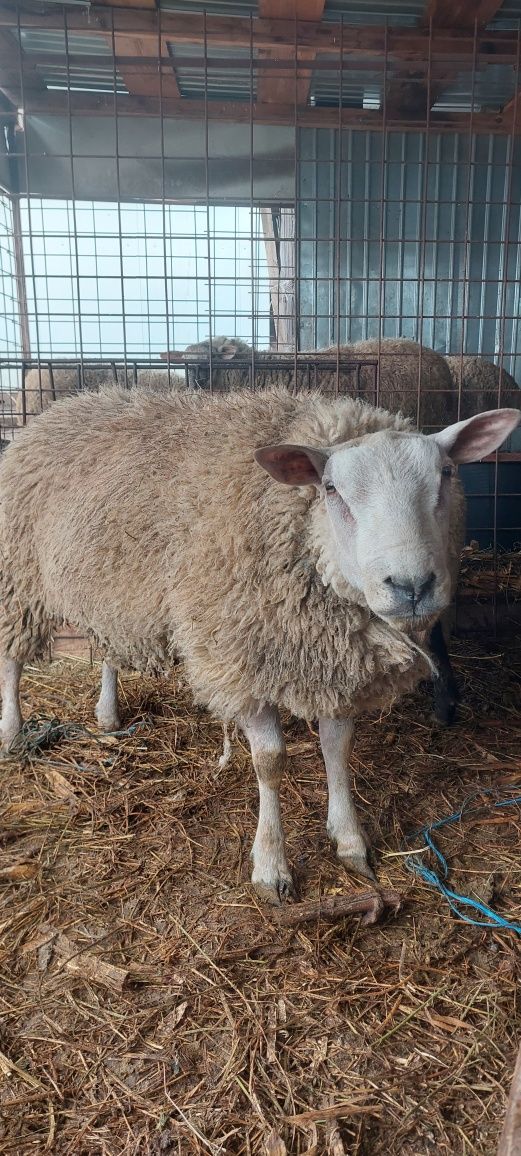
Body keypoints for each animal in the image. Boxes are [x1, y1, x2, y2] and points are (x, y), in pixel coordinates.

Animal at [1, 383, 517, 897]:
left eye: (447, 473)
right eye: (331, 489)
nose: (412, 586)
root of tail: (68, 404)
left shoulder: (334, 664)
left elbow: (338, 747)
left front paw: (349, 840)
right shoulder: (242, 660)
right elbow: (269, 762)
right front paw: (271, 865)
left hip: (108, 591)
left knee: (107, 647)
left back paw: (107, 716)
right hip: (19, 576)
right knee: (11, 661)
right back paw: (12, 731)